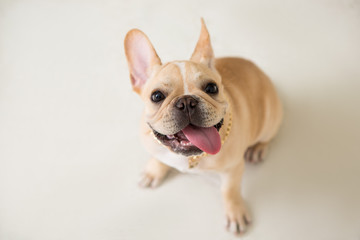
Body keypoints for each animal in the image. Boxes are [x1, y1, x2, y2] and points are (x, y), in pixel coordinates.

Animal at [125, 20, 282, 234]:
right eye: (156, 96)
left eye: (211, 88)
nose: (186, 101)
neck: (191, 157)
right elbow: (158, 158)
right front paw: (154, 170)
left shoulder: (233, 168)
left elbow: (229, 190)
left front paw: (235, 212)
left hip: (269, 120)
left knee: (267, 136)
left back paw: (258, 148)